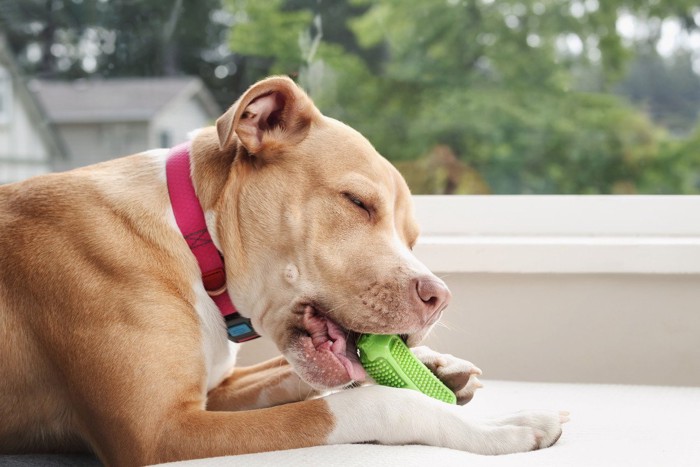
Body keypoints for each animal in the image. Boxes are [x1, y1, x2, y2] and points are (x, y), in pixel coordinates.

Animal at [0, 76, 568, 464]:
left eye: (412, 239)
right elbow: (369, 403)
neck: (194, 239)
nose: (440, 298)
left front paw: (438, 367)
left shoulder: (215, 394)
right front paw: (503, 423)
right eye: (357, 203)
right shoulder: (157, 431)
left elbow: (291, 375)